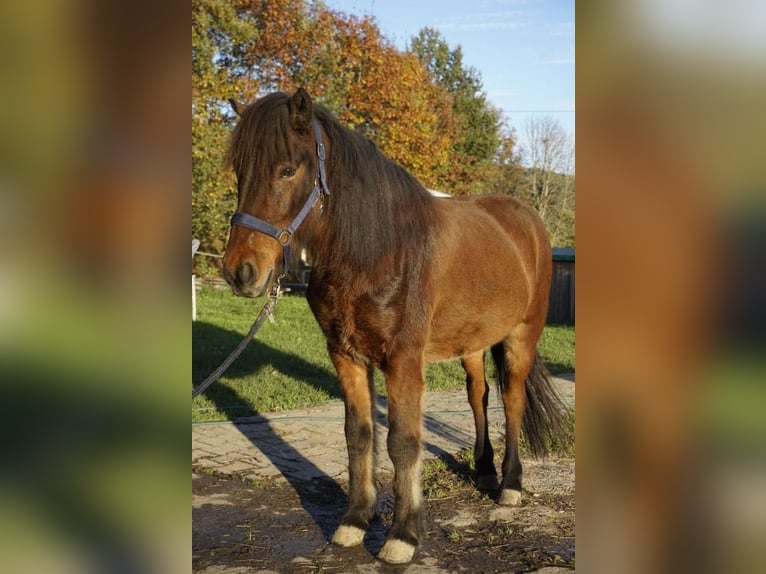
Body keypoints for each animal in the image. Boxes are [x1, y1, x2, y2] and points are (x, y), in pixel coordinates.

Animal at [219, 88, 568, 564]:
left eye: (287, 169)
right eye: (240, 172)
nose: (240, 272)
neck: (378, 252)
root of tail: (527, 219)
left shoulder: (403, 360)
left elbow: (402, 441)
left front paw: (403, 535)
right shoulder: (345, 355)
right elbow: (358, 435)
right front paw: (354, 521)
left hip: (522, 336)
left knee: (512, 400)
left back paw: (510, 485)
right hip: (472, 344)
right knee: (478, 395)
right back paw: (482, 470)